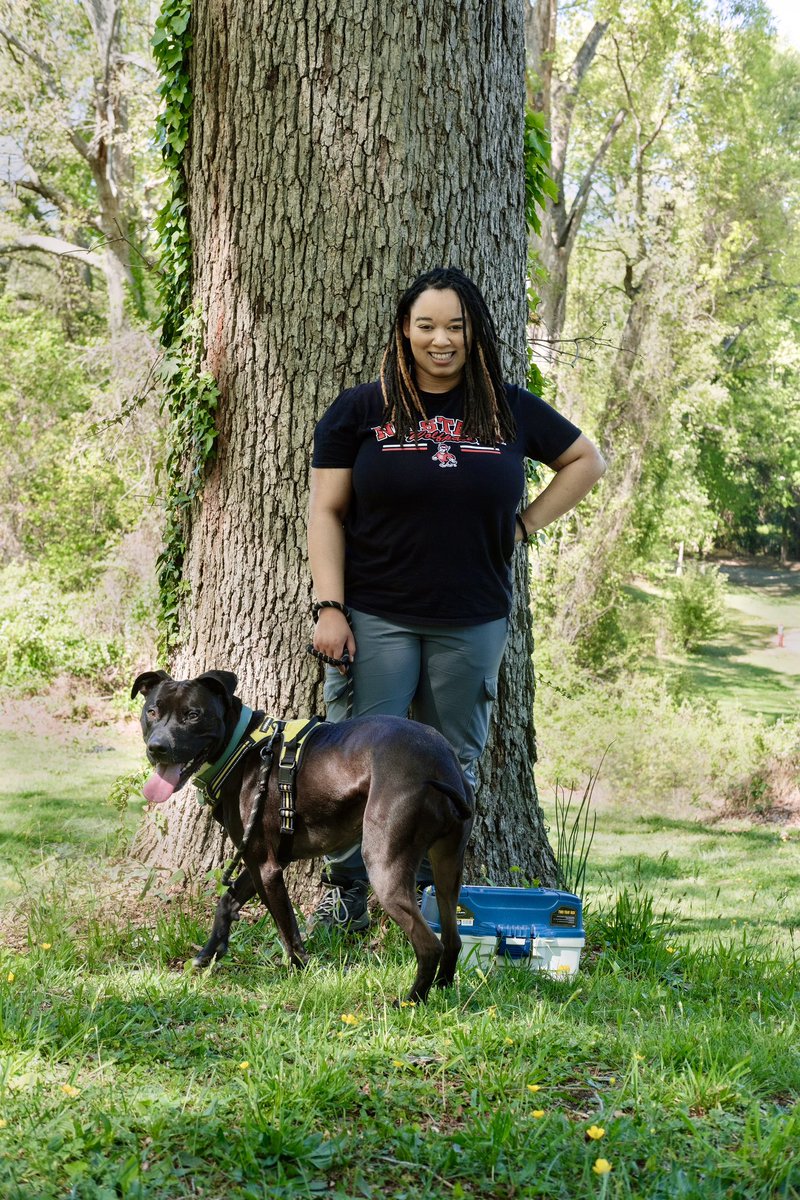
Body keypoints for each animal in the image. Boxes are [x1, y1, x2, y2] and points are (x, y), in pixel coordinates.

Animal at [131, 672, 474, 998]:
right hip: (448, 868)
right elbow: (227, 901)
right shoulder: (261, 860)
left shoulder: (267, 869)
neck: (241, 746)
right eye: (152, 711)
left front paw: (301, 971)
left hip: (384, 866)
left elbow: (287, 928)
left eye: (193, 715)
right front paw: (208, 955)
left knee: (430, 945)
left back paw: (411, 1000)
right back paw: (444, 990)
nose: (157, 748)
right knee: (453, 938)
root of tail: (441, 763)